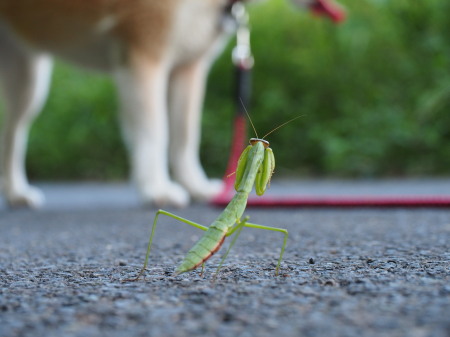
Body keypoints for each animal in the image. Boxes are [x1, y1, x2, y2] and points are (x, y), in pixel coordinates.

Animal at [0, 0, 342, 207]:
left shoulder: (188, 66)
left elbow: (185, 135)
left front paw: (196, 186)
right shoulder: (143, 51)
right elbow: (155, 132)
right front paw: (157, 188)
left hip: (27, 75)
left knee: (13, 134)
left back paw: (16, 192)